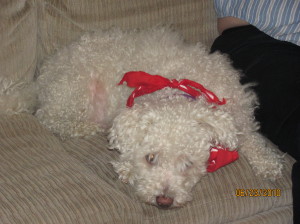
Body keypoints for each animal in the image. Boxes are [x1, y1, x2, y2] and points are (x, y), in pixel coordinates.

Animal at [36, 27, 282, 208]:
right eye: (150, 158)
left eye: (188, 164)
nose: (164, 201)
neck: (181, 86)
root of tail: (47, 69)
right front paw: (127, 167)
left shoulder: (240, 117)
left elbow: (251, 139)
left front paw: (268, 163)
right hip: (75, 89)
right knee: (51, 118)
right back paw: (86, 127)